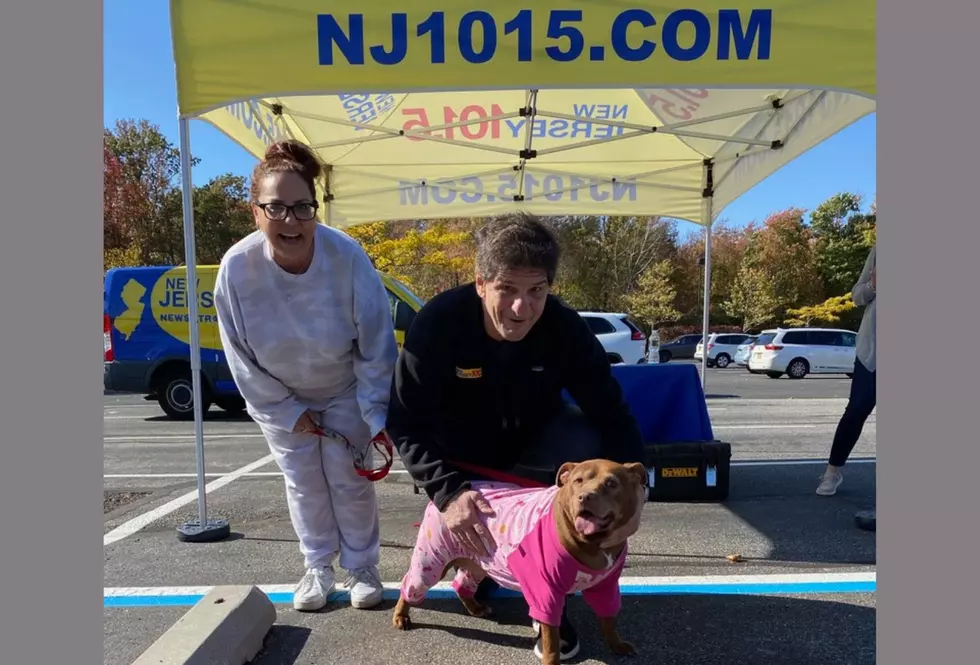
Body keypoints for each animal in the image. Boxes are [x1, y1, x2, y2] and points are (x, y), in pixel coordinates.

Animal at [390, 460, 652, 660]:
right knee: (411, 583)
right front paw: (552, 658)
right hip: (432, 558)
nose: (585, 497)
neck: (593, 543)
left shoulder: (606, 585)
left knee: (461, 583)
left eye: (612, 483)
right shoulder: (546, 593)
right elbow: (551, 642)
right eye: (577, 481)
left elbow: (609, 618)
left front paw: (616, 644)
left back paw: (475, 607)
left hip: (480, 560)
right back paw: (401, 615)